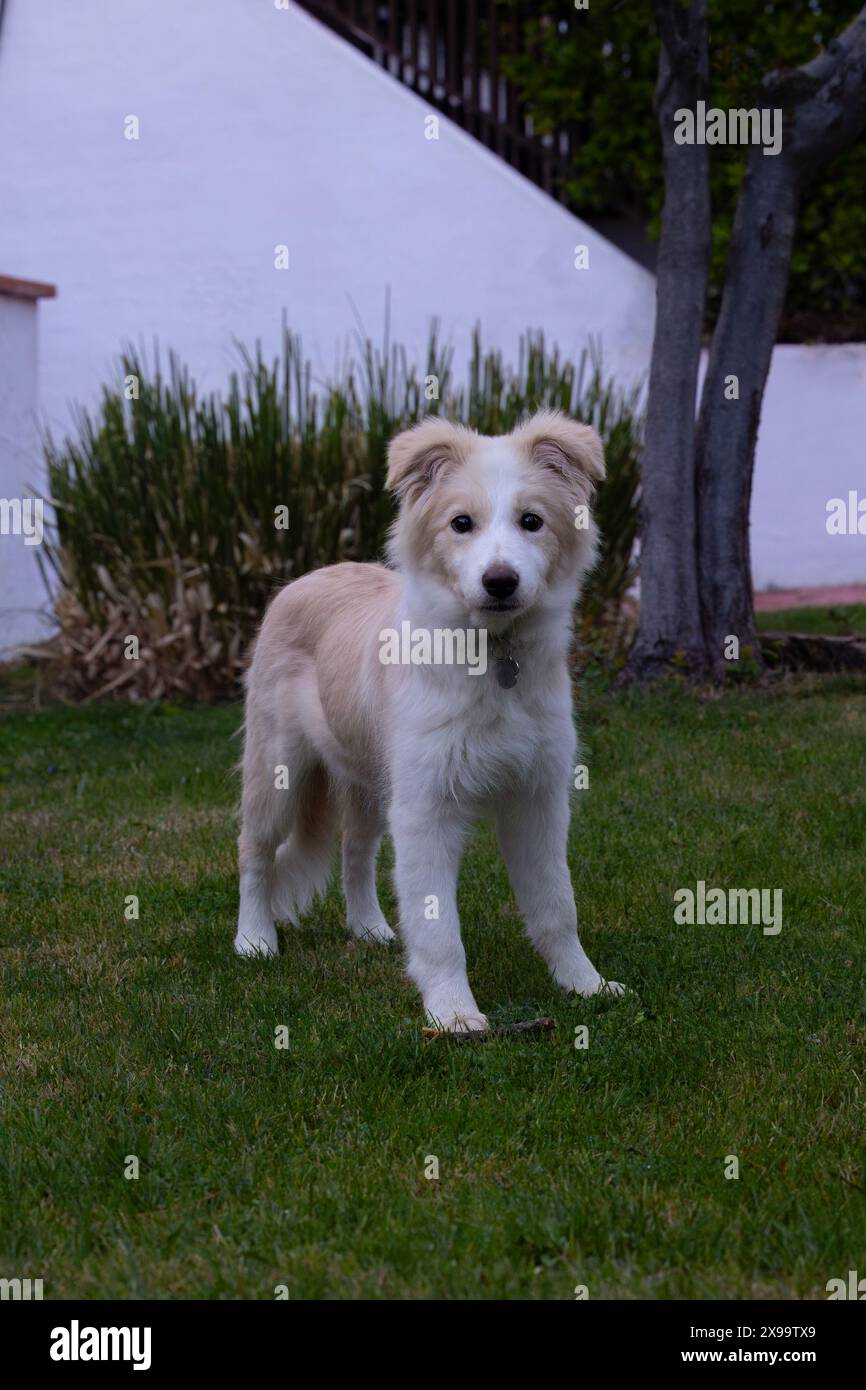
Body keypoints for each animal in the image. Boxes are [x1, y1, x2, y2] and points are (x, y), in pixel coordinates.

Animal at [237, 405, 622, 1028]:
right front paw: (453, 1015)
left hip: (370, 779)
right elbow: (439, 927)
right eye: (460, 523)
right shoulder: (426, 807)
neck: (493, 657)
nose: (500, 582)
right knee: (255, 852)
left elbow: (557, 905)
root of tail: (309, 576)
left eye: (532, 521)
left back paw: (369, 928)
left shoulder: (537, 797)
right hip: (278, 769)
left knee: (355, 853)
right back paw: (253, 939)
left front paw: (584, 984)